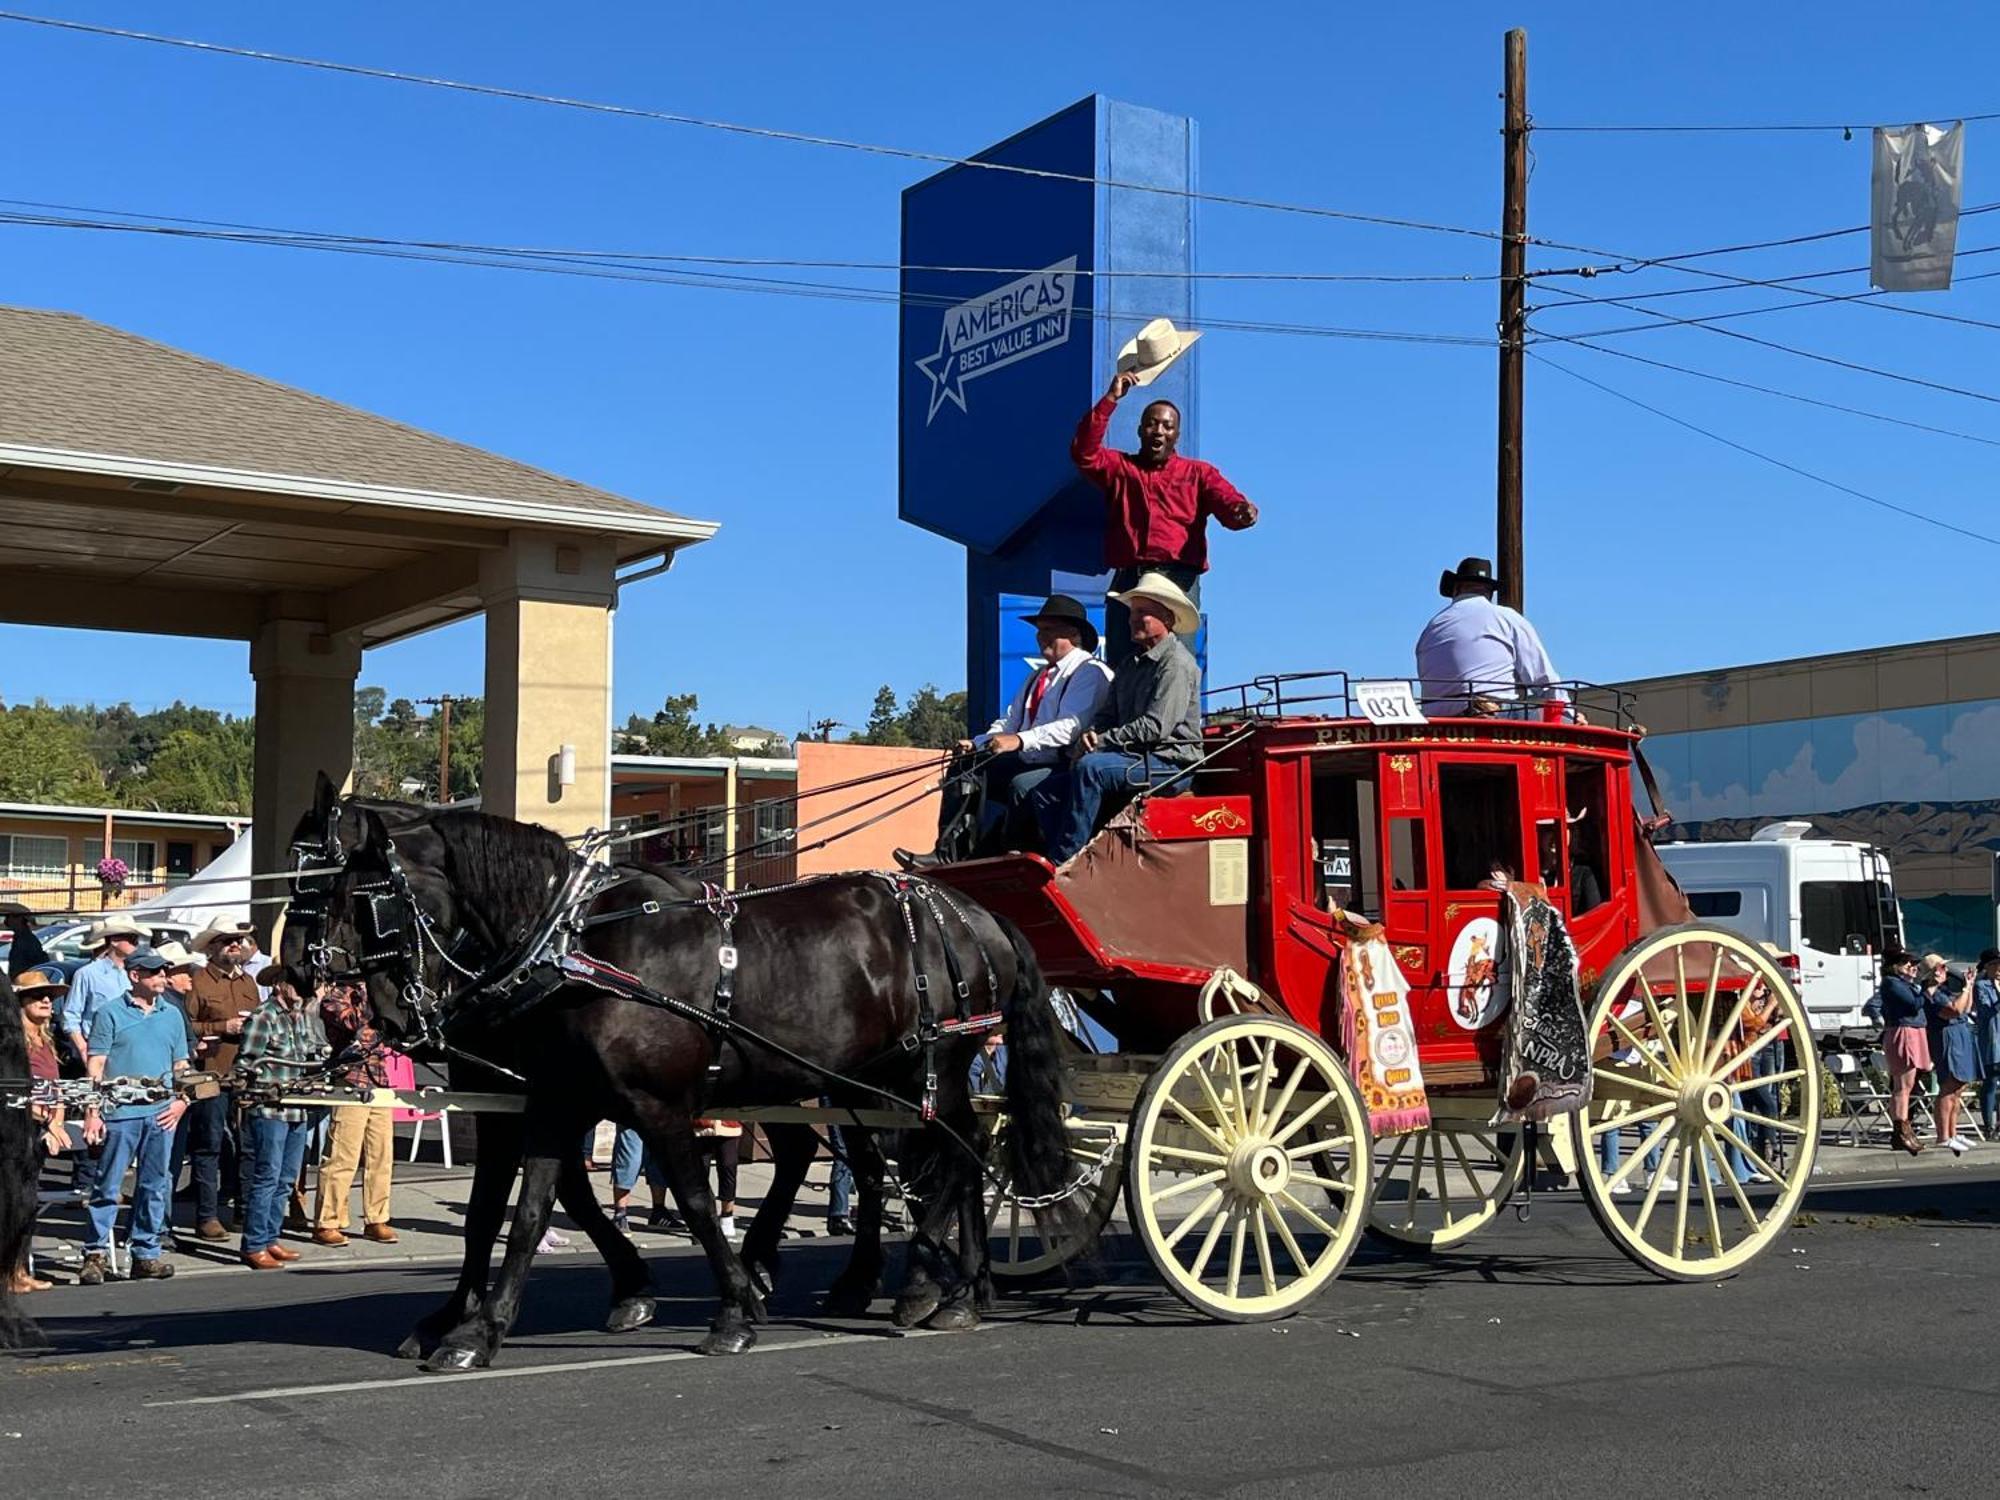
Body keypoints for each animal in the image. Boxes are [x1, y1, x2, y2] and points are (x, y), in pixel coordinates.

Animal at [286, 780, 1080, 1368]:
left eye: (357, 893)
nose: (298, 970)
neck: (577, 947)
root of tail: (972, 911)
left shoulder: (650, 1102)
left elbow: (694, 1202)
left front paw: (730, 1310)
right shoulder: (546, 1098)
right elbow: (523, 1211)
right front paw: (476, 1327)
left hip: (928, 1064)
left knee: (953, 1158)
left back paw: (936, 1286)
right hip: (864, 1077)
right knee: (915, 1159)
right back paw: (937, 1286)